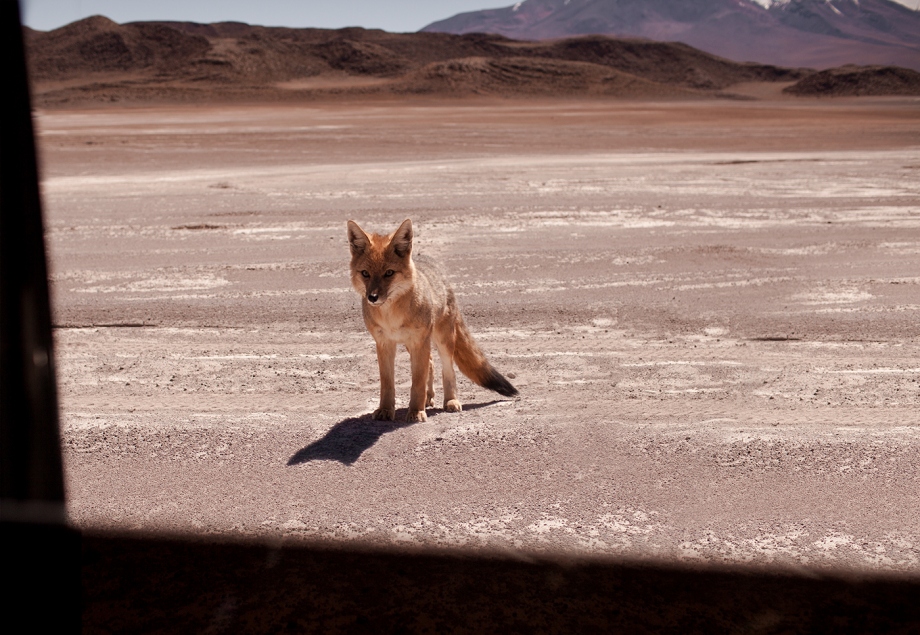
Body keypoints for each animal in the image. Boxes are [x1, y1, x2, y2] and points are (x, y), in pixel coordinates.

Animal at [346, 219, 516, 422]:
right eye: (365, 273)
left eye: (389, 273)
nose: (372, 297)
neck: (391, 317)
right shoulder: (384, 343)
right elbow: (387, 383)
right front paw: (386, 409)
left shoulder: (419, 342)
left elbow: (417, 381)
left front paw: (416, 411)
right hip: (414, 344)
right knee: (431, 364)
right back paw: (429, 398)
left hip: (442, 339)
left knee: (448, 370)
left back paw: (450, 401)